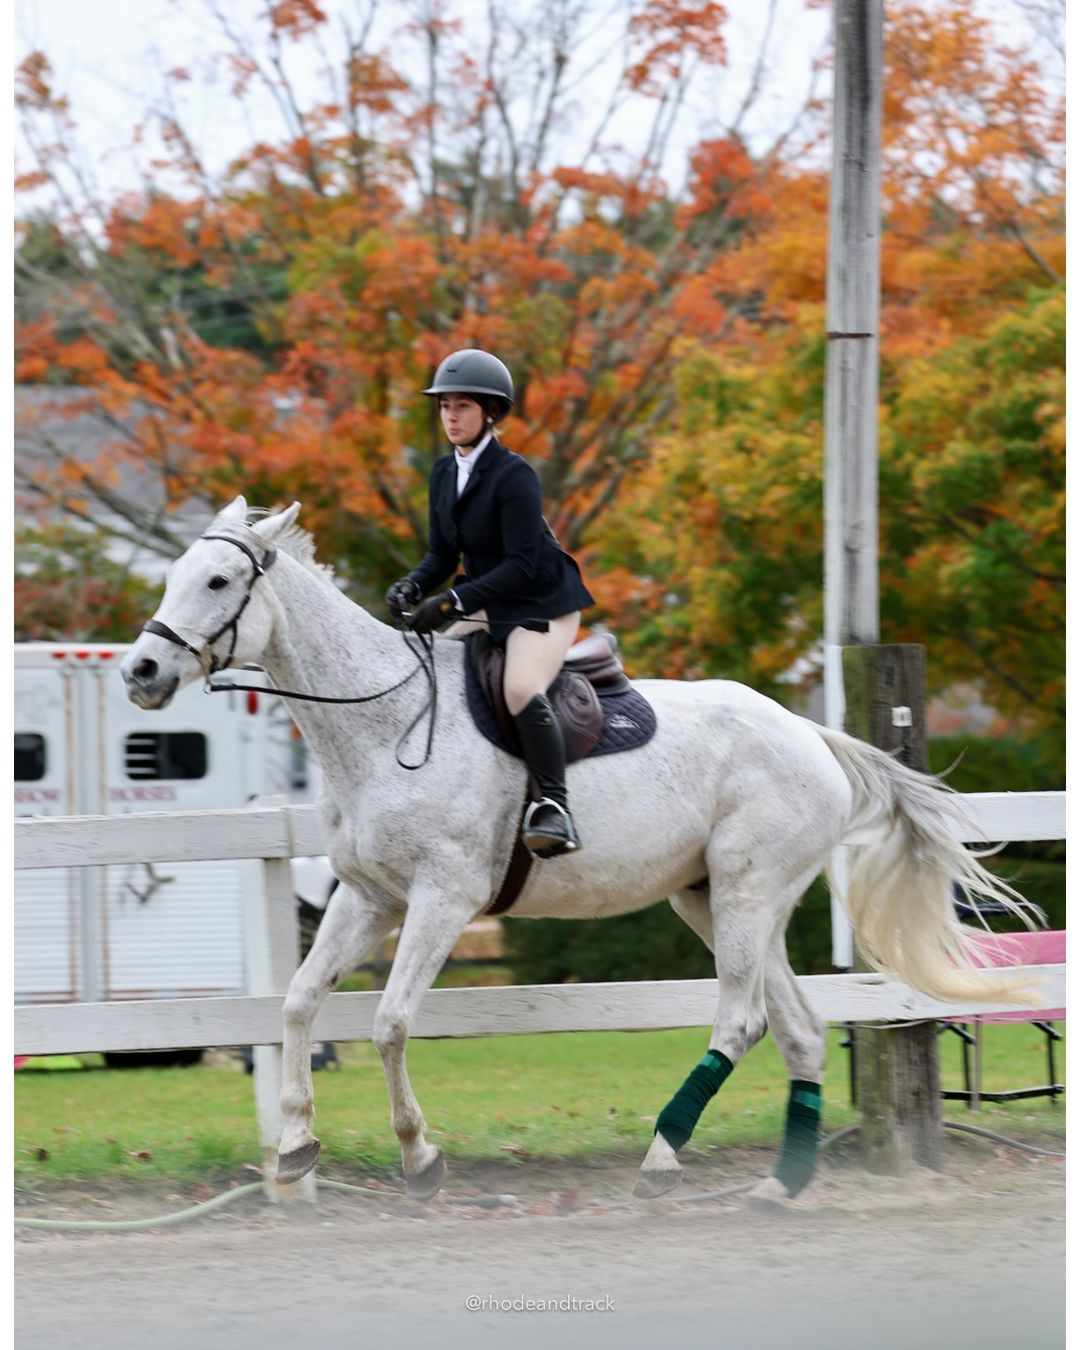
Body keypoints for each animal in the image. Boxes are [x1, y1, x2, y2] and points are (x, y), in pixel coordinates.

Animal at [120, 497, 1032, 1206]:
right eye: (174, 575)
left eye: (217, 581)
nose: (141, 671)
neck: (383, 726)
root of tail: (810, 732)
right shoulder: (368, 897)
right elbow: (299, 1003)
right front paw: (297, 1146)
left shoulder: (442, 898)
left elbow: (389, 1021)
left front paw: (420, 1157)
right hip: (715, 900)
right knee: (799, 1029)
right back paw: (782, 1183)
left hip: (746, 893)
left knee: (741, 1020)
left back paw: (662, 1158)